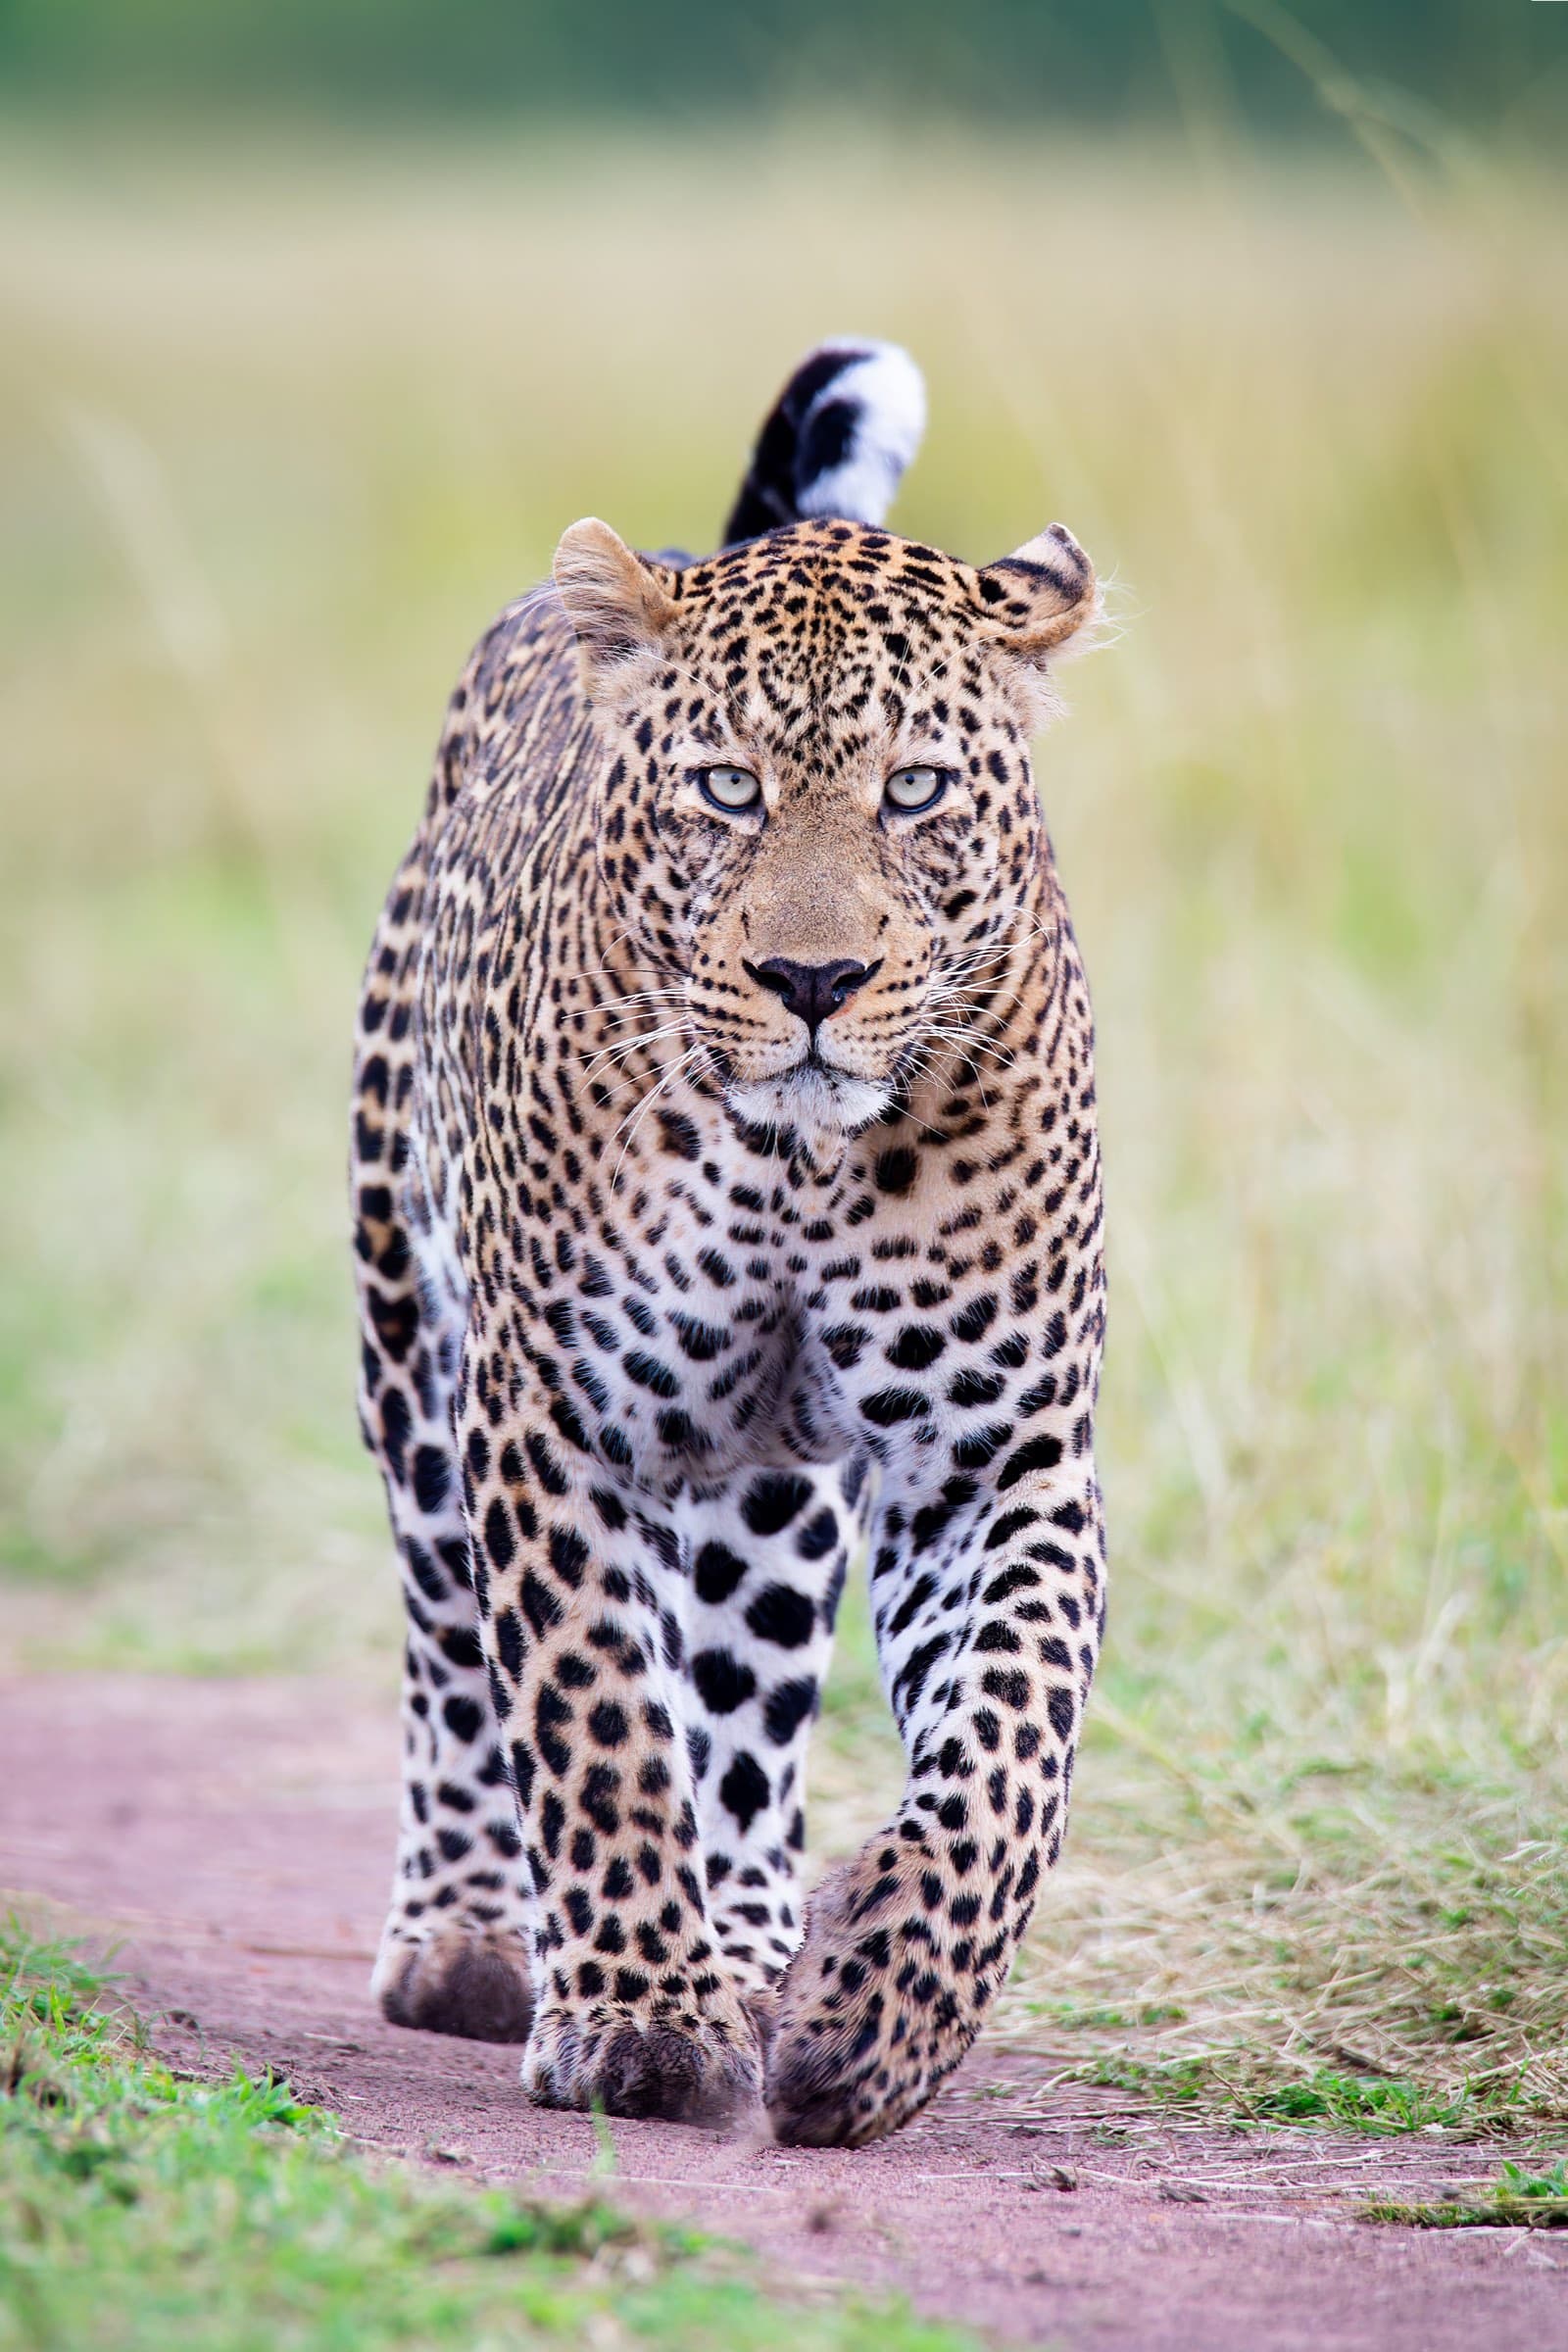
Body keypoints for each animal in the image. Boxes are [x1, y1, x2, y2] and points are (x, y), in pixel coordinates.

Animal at [350, 337, 1109, 2148]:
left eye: (915, 788)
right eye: (726, 788)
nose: (813, 981)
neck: (797, 1165)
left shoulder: (998, 1452)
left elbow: (1010, 1740)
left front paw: (875, 2014)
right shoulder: (549, 1414)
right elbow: (592, 1712)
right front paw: (639, 2019)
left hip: (768, 1496)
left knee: (746, 1714)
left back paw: (760, 1946)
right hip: (410, 1343)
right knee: (450, 1651)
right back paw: (471, 1939)